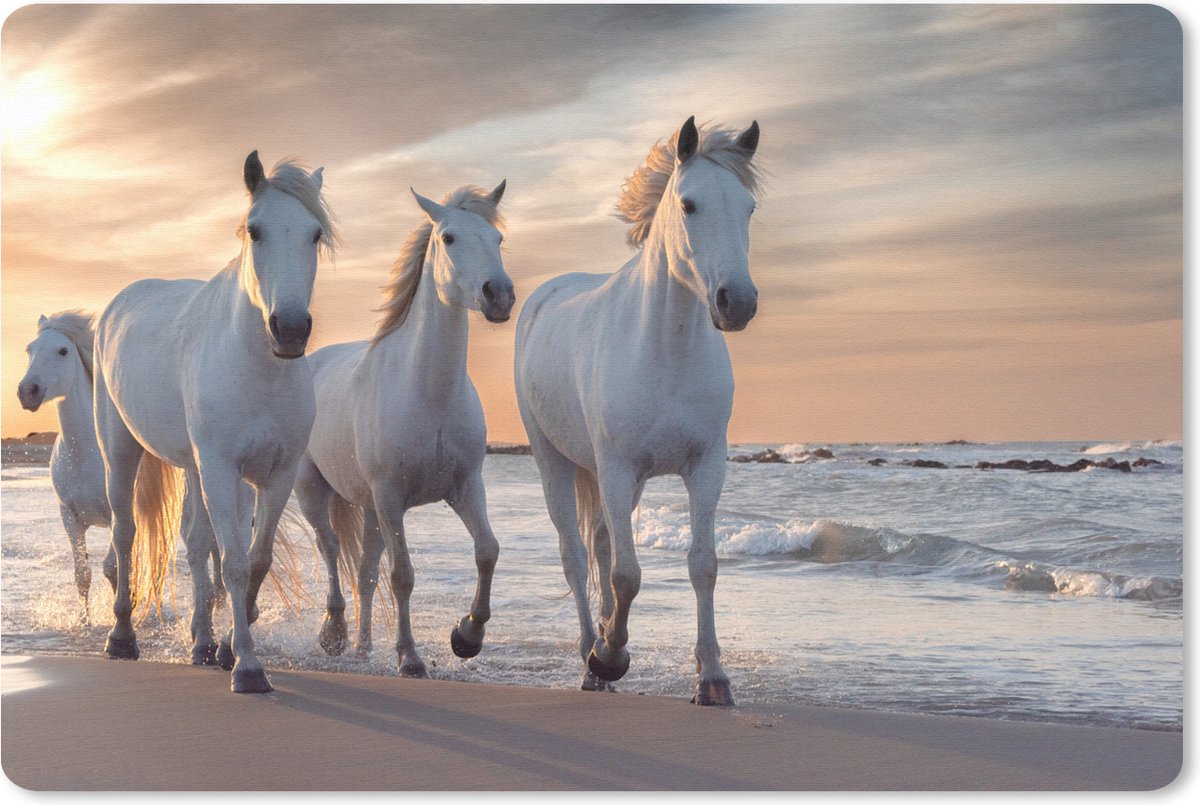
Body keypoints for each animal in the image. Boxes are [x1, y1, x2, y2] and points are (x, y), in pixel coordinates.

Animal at [16, 311, 225, 615]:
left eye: (63, 350)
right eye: (29, 350)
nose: (27, 391)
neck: (84, 455)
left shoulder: (118, 513)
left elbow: (112, 568)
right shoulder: (69, 517)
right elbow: (83, 575)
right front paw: (85, 620)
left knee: (213, 549)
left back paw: (219, 600)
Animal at [93, 151, 334, 692]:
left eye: (314, 234)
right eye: (256, 230)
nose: (290, 329)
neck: (258, 369)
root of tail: (119, 302)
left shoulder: (275, 475)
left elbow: (253, 560)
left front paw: (226, 648)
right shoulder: (222, 470)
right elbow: (236, 564)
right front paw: (247, 667)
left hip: (194, 468)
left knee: (197, 545)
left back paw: (202, 644)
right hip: (120, 451)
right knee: (125, 533)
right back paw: (121, 638)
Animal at [293, 182, 512, 677]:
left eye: (497, 239)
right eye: (448, 238)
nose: (499, 295)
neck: (428, 393)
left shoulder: (465, 487)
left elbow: (487, 550)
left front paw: (466, 636)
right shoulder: (392, 496)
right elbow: (403, 576)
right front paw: (410, 657)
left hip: (370, 508)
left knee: (365, 570)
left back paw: (362, 647)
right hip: (314, 490)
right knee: (330, 548)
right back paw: (334, 634)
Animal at [514, 117, 761, 705]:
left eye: (748, 208)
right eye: (689, 205)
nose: (737, 303)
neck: (666, 351)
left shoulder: (705, 468)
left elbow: (702, 565)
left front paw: (713, 678)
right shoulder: (618, 468)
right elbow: (627, 575)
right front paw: (609, 658)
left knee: (602, 543)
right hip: (555, 462)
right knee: (576, 555)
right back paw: (592, 656)